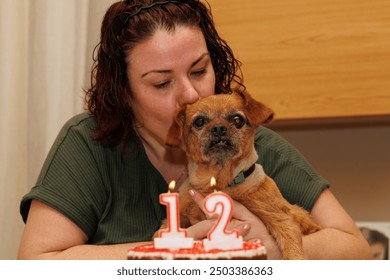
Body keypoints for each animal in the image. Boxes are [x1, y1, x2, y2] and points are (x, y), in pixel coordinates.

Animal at [161, 89, 320, 258]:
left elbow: (292, 249)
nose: (218, 128)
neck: (222, 182)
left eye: (238, 120)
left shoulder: (279, 218)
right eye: (199, 121)